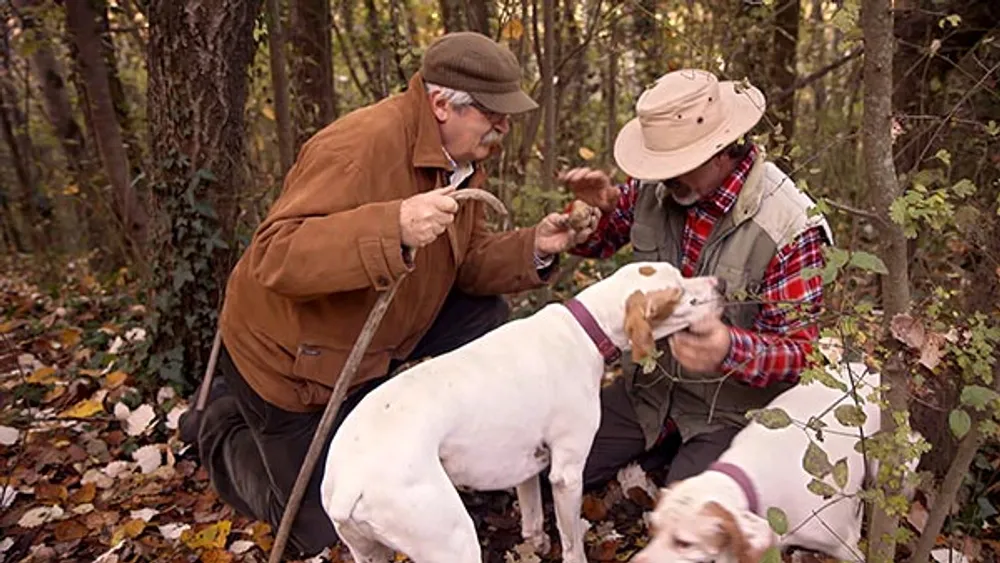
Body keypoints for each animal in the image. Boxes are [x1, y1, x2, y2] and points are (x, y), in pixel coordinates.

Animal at [320, 262, 728, 563]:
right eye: (678, 294)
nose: (721, 283)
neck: (583, 329)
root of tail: (349, 482)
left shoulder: (526, 464)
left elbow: (532, 518)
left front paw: (536, 543)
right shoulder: (567, 474)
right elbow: (571, 542)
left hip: (369, 551)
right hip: (453, 543)